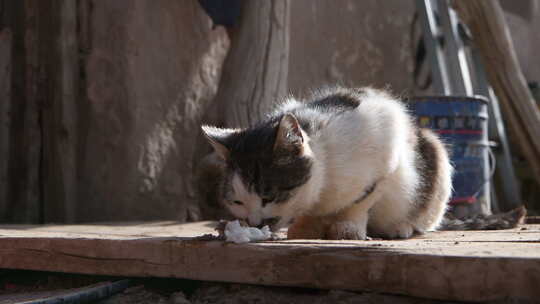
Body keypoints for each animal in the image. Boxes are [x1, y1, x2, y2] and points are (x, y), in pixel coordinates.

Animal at [201, 86, 520, 240]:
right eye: (237, 202)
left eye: (268, 196)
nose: (254, 222)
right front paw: (305, 228)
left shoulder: (385, 156)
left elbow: (359, 203)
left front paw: (347, 230)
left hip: (436, 152)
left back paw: (401, 227)